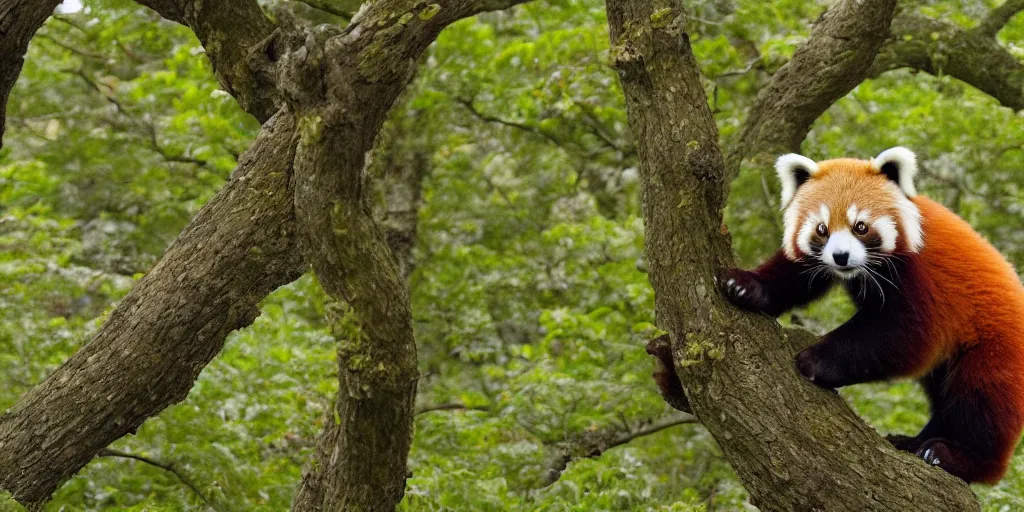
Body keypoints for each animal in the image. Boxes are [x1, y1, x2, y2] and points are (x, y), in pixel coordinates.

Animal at [720, 148, 1024, 483]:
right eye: (822, 229)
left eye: (860, 227)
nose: (840, 257)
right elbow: (796, 274)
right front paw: (747, 287)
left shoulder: (919, 274)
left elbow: (905, 335)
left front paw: (816, 361)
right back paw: (915, 442)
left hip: (996, 345)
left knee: (980, 399)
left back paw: (955, 457)